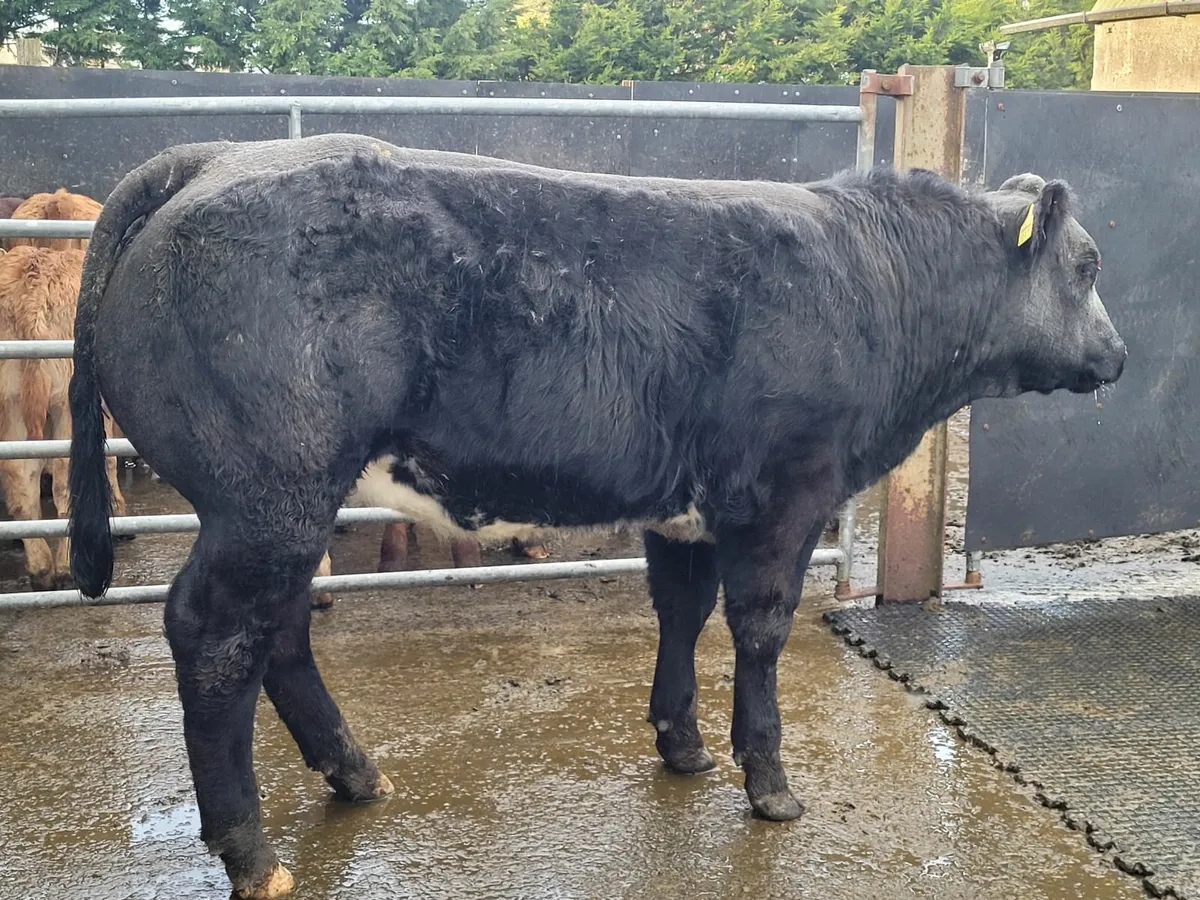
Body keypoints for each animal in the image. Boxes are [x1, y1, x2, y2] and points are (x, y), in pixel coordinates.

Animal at [0, 246, 126, 589]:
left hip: (11, 399)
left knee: (20, 478)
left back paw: (41, 568)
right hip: (67, 400)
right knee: (66, 478)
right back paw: (68, 566)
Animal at [65, 135, 1125, 899]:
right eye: (1086, 264)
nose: (1117, 355)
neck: (874, 282)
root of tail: (211, 157)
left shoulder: (686, 510)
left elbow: (681, 615)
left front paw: (682, 745)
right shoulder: (786, 496)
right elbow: (760, 631)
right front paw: (769, 785)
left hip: (286, 504)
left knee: (278, 631)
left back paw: (355, 773)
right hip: (266, 494)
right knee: (214, 634)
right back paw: (252, 854)